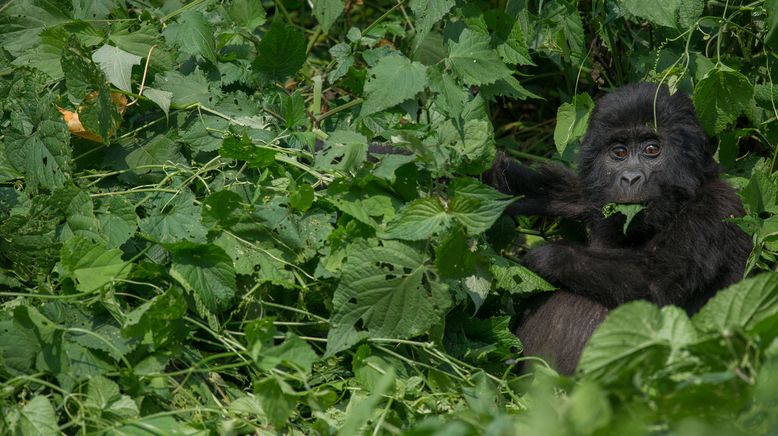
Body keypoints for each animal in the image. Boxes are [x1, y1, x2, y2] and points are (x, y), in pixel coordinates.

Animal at [488, 83, 748, 376]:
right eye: (619, 153)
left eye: (651, 149)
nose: (630, 178)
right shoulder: (592, 193)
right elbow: (545, 192)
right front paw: (486, 175)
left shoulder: (717, 208)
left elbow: (656, 285)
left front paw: (545, 257)